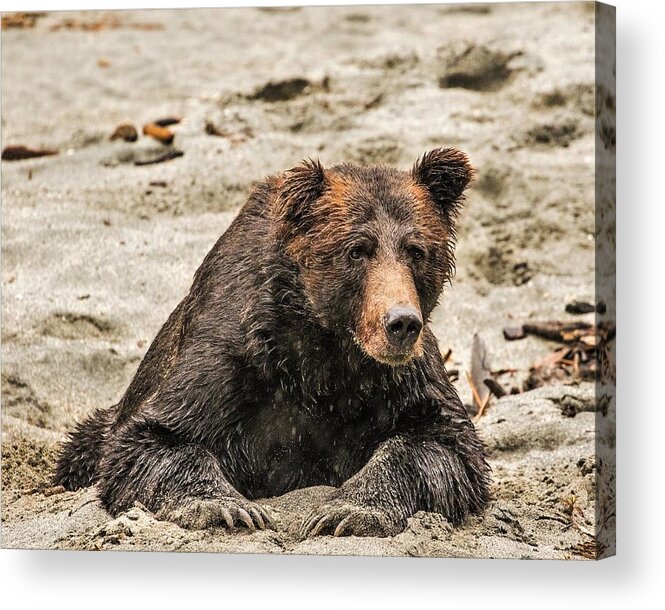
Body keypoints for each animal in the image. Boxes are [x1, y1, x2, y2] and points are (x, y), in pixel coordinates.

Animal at [55, 148, 488, 536]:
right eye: (357, 250)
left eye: (416, 250)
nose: (401, 323)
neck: (322, 352)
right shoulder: (232, 363)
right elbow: (153, 439)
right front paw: (230, 508)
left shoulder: (400, 380)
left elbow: (444, 445)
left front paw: (345, 512)